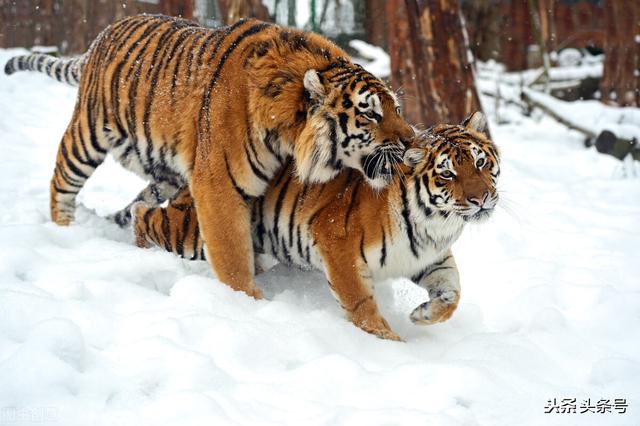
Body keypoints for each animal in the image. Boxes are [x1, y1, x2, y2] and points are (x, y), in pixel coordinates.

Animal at [3, 14, 416, 300]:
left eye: (396, 108)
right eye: (370, 113)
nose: (412, 140)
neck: (285, 131)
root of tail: (98, 39)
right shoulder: (218, 184)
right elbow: (230, 251)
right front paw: (247, 300)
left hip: (164, 170)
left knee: (139, 206)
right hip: (86, 137)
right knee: (61, 182)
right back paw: (65, 229)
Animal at [130, 112, 500, 340]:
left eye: (480, 162)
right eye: (447, 173)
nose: (482, 198)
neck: (434, 224)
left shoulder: (430, 257)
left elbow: (452, 293)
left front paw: (422, 316)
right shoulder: (339, 245)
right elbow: (361, 304)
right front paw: (387, 341)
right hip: (192, 231)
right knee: (144, 215)